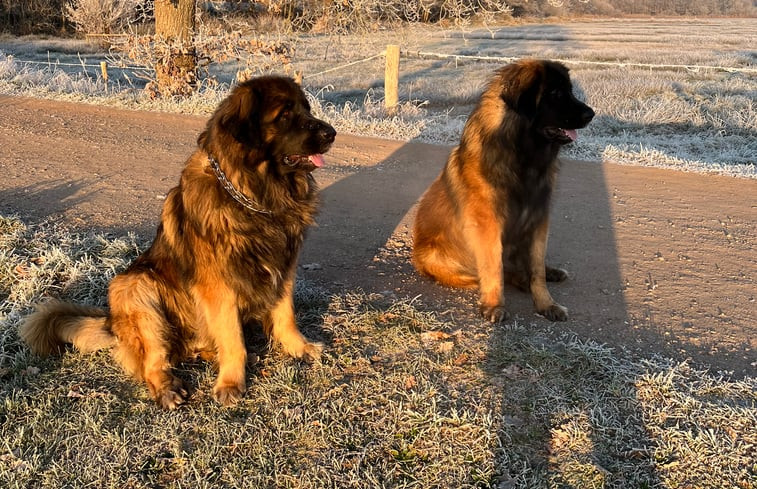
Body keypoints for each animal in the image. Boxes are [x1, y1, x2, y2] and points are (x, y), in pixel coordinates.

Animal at [410, 59, 592, 322]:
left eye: (570, 91)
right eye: (556, 93)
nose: (591, 114)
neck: (522, 159)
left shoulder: (539, 221)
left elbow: (537, 268)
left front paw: (546, 304)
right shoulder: (488, 225)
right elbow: (494, 268)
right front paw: (495, 305)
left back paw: (549, 273)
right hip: (436, 258)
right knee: (499, 272)